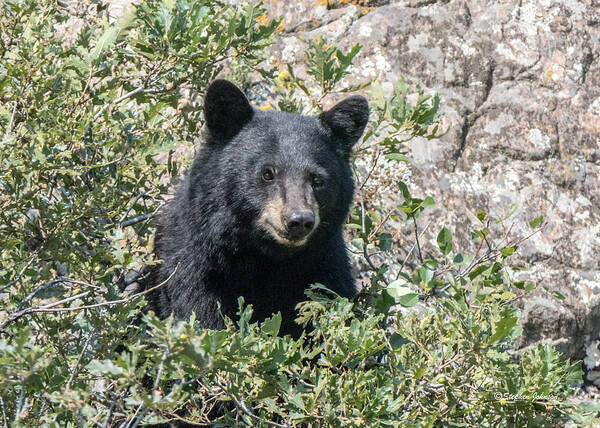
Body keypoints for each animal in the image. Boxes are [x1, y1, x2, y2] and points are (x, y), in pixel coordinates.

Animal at [148, 78, 368, 336]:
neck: (263, 259)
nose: (299, 220)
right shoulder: (192, 265)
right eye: (267, 173)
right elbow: (197, 311)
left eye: (317, 179)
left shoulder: (326, 270)